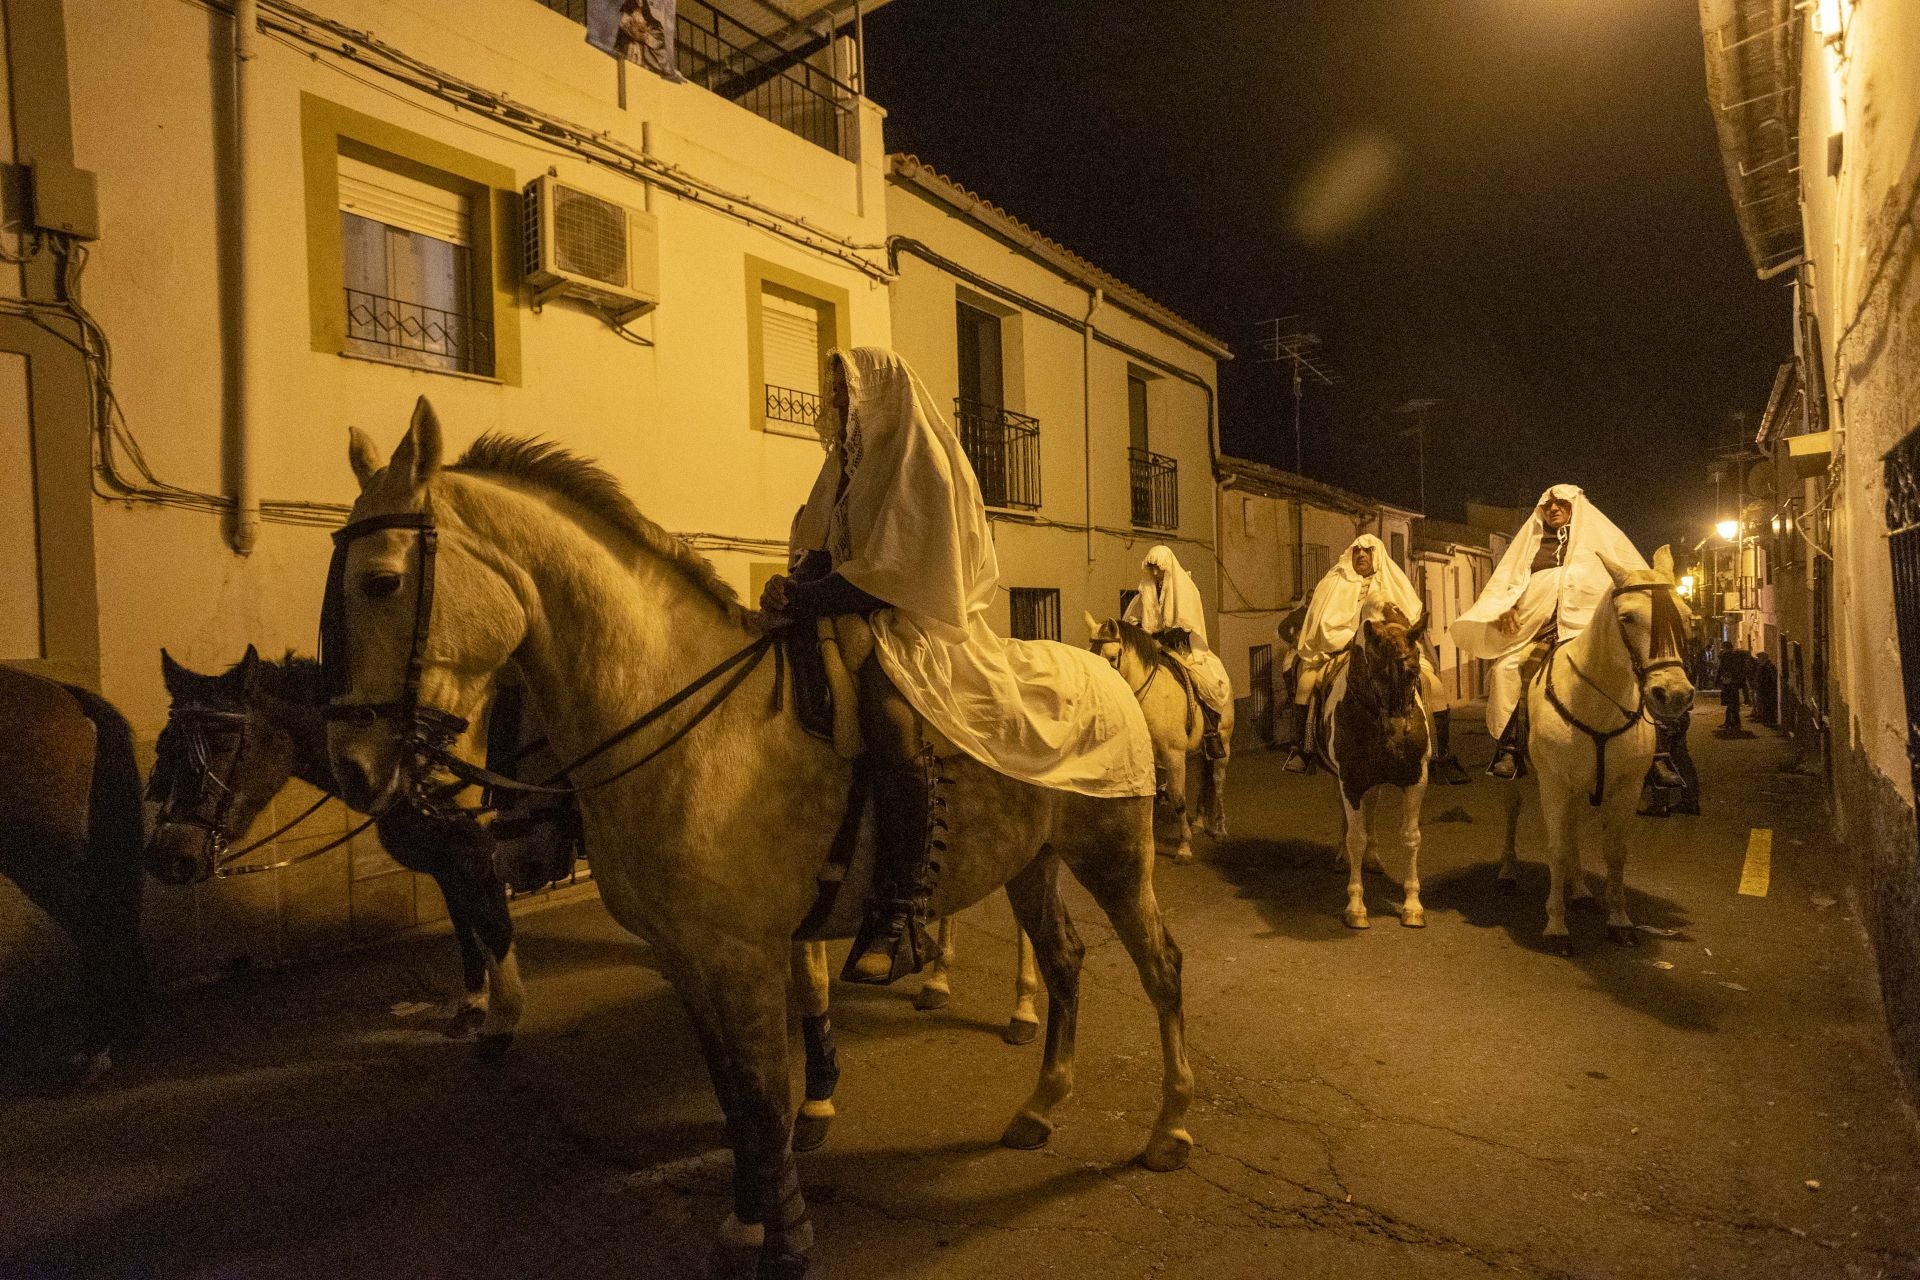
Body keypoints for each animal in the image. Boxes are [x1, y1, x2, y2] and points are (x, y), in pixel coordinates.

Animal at [328, 402, 1190, 1280]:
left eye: (381, 580)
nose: (355, 767)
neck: (685, 720)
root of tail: (1107, 674)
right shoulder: (687, 954)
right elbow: (732, 1093)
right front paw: (745, 1221)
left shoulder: (740, 953)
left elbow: (764, 1093)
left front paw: (788, 1237)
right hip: (1034, 862)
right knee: (1065, 962)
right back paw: (1042, 1105)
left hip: (1116, 857)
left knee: (1161, 968)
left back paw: (1170, 1129)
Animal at [1489, 545, 1689, 955]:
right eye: (1628, 617)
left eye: (1686, 617)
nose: (1674, 694)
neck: (1597, 704)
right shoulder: (1553, 783)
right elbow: (1556, 848)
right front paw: (1556, 926)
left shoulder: (1625, 787)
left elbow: (1614, 851)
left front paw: (1619, 921)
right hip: (1525, 779)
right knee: (1515, 813)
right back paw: (1508, 871)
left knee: (1573, 831)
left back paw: (1580, 890)